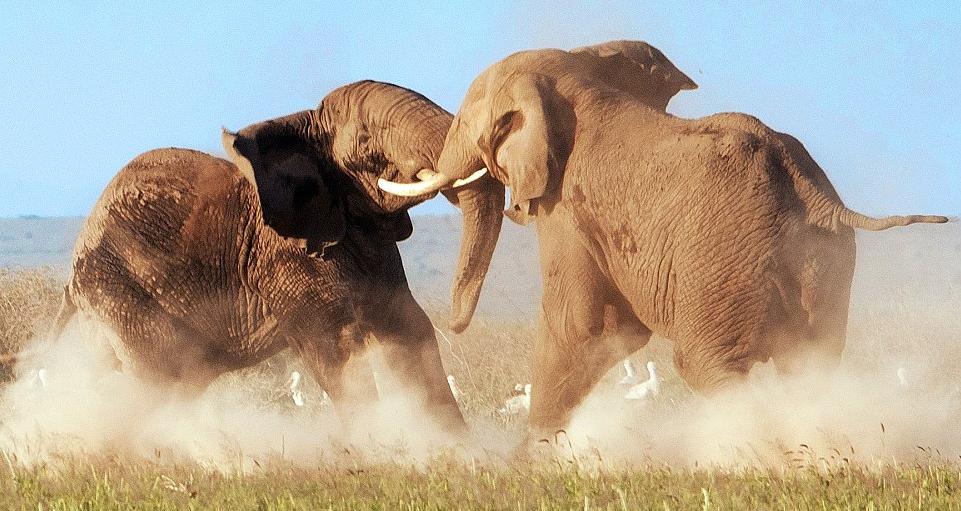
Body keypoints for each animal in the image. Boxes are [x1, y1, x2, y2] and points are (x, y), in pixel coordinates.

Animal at [46, 80, 490, 434]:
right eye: (366, 142)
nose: (459, 322)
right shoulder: (283, 257)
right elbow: (336, 347)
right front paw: (382, 449)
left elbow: (410, 328)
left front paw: (456, 451)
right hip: (121, 294)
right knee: (157, 378)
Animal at [378, 42, 950, 434]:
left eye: (467, 118)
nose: (452, 327)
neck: (576, 75)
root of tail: (808, 186)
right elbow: (609, 332)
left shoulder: (568, 211)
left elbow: (583, 326)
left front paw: (529, 466)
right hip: (820, 258)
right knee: (811, 362)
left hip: (720, 259)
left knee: (707, 366)